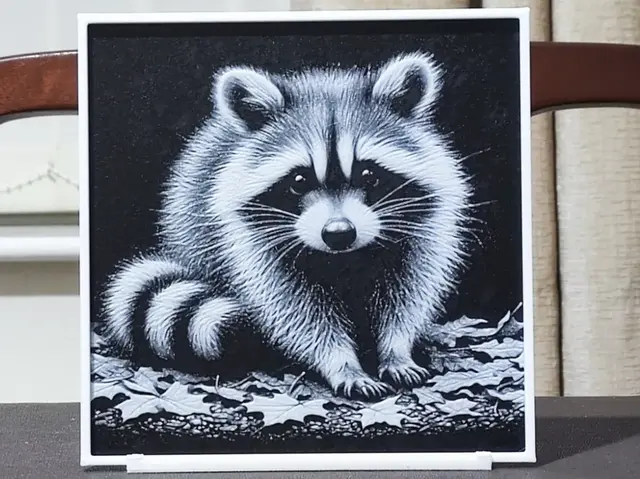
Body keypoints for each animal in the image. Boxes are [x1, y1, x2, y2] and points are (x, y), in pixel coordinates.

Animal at [101, 51, 472, 400]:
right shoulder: (253, 244)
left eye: (369, 174)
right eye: (298, 181)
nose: (339, 234)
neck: (343, 260)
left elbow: (405, 297)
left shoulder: (423, 229)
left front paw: (396, 350)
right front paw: (342, 363)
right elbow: (297, 312)